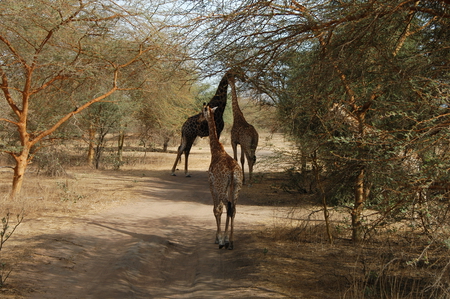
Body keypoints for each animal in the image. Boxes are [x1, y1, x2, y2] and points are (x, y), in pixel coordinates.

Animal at [203, 103, 243, 251]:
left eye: (202, 112)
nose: (200, 118)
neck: (216, 151)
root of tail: (232, 171)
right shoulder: (224, 187)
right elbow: (222, 209)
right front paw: (221, 238)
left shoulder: (212, 185)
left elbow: (216, 209)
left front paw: (218, 239)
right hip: (236, 186)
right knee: (233, 208)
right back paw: (230, 242)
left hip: (221, 187)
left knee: (228, 206)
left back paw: (225, 242)